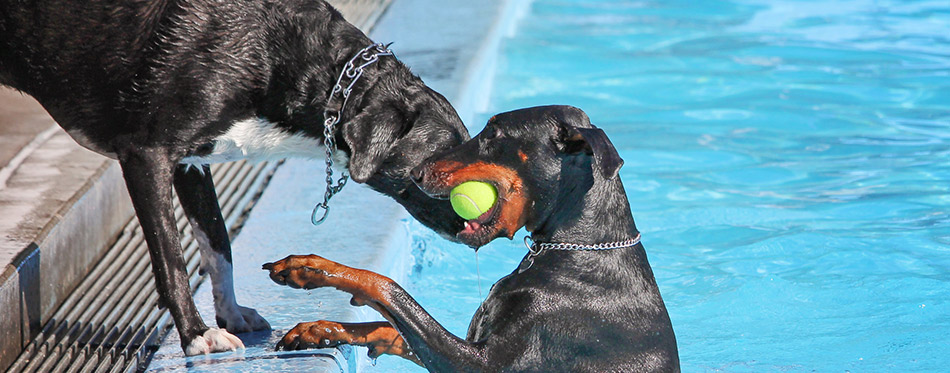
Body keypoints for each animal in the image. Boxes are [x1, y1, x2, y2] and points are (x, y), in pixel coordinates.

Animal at [0, 0, 468, 354]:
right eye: (442, 165)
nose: (476, 227)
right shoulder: (146, 154)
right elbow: (172, 260)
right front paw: (196, 334)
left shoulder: (191, 162)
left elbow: (218, 242)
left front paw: (231, 314)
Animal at [262, 105, 676, 372]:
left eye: (493, 133)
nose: (414, 173)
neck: (577, 249)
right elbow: (393, 326)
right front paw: (319, 330)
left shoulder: (483, 364)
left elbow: (387, 287)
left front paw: (311, 268)